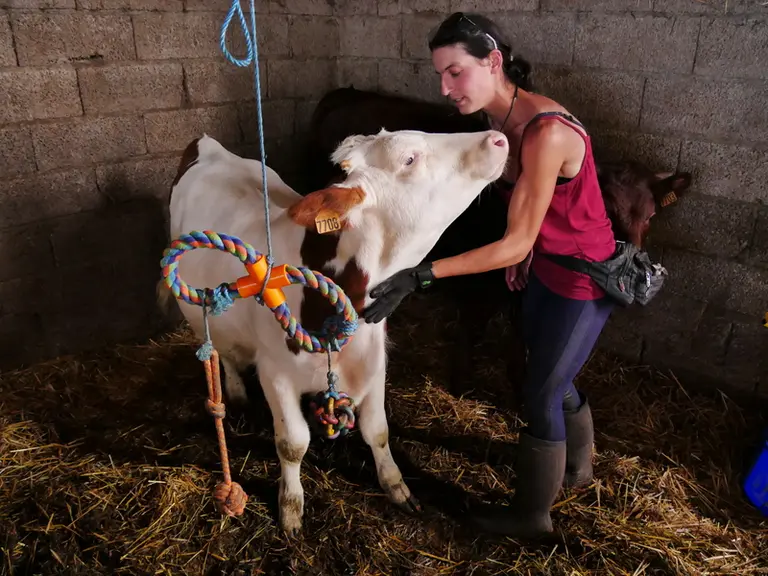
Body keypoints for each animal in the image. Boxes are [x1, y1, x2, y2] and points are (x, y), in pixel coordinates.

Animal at [161, 127, 510, 534]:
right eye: (409, 158)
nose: (497, 137)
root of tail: (207, 144)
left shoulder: (374, 357)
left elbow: (377, 429)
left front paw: (396, 485)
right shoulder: (275, 373)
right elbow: (293, 443)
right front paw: (291, 507)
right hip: (199, 314)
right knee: (220, 351)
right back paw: (234, 390)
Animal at [303, 86, 693, 401]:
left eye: (650, 215)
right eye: (608, 208)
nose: (633, 271)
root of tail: (346, 93)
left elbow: (522, 333)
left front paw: (519, 383)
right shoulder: (479, 284)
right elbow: (472, 328)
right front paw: (461, 383)